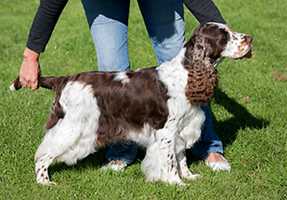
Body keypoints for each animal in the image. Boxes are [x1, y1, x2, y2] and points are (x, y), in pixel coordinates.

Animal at [10, 23, 252, 186]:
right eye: (224, 36)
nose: (249, 38)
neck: (187, 74)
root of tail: (63, 79)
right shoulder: (166, 130)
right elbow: (171, 160)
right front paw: (176, 183)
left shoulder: (182, 128)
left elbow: (181, 157)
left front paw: (190, 177)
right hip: (73, 127)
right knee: (43, 154)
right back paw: (44, 182)